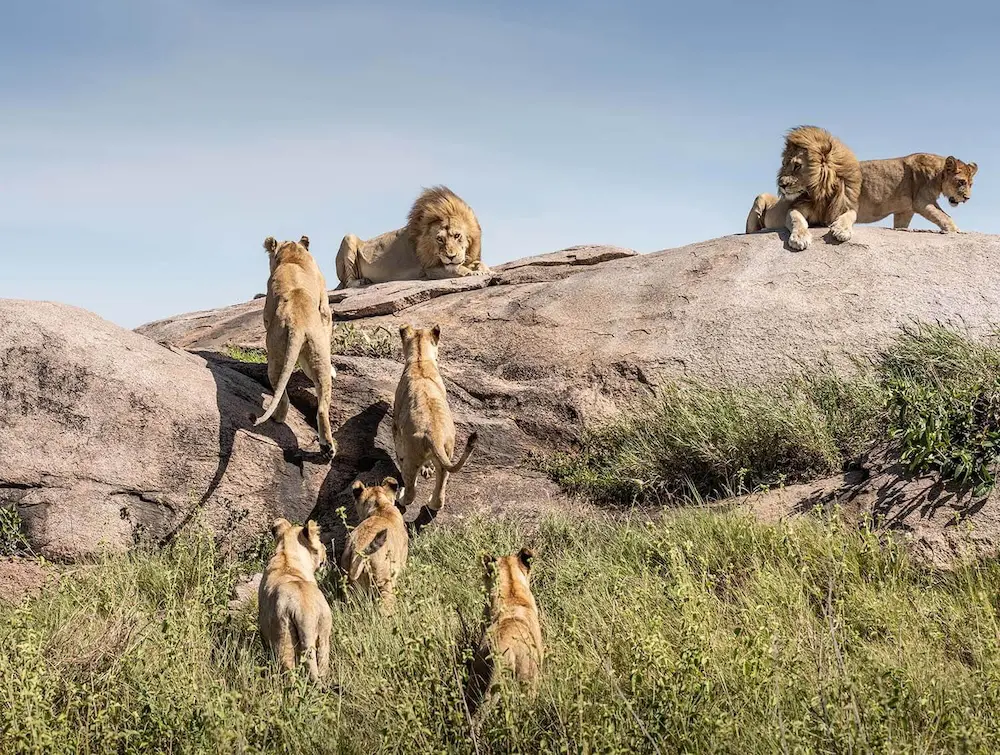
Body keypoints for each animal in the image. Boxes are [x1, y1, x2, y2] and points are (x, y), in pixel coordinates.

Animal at [255, 235, 336, 457]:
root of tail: (298, 323)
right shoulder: (325, 309)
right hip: (316, 352)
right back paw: (327, 448)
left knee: (282, 395)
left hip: (276, 354)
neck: (293, 256)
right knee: (321, 405)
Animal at [258, 518, 332, 682]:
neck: (286, 556)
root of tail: (305, 612)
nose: (326, 549)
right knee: (322, 665)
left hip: (283, 637)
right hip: (324, 633)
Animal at [335, 186, 491, 288]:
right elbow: (458, 269)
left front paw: (485, 270)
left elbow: (478, 264)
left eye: (457, 235)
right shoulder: (430, 269)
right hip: (348, 238)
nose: (450, 256)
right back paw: (360, 281)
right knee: (348, 283)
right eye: (439, 239)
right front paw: (473, 274)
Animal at [392, 324, 478, 519]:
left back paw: (401, 497)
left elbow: (397, 448)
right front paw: (427, 469)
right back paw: (432, 503)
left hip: (412, 457)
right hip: (447, 454)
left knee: (411, 490)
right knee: (440, 492)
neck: (420, 360)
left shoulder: (396, 422)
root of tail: (435, 436)